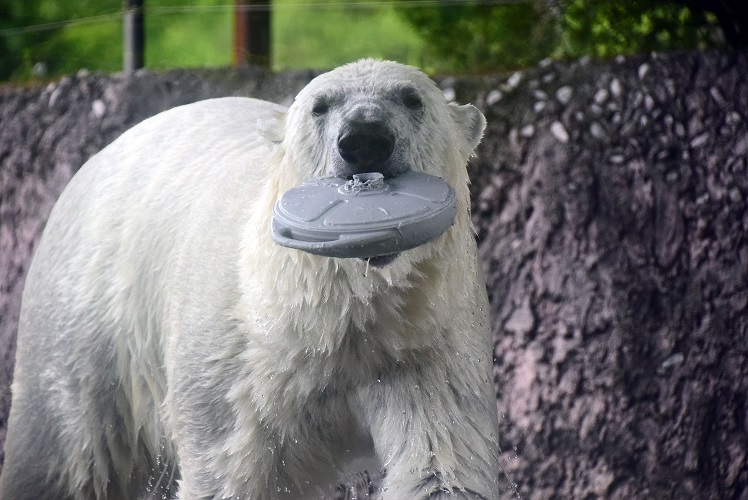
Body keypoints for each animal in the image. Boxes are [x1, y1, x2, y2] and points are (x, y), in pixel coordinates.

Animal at [1, 60, 502, 498]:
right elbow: (230, 469)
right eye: (320, 106)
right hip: (87, 318)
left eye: (412, 98)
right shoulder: (234, 364)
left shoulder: (426, 344)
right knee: (61, 452)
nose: (364, 139)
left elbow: (441, 461)